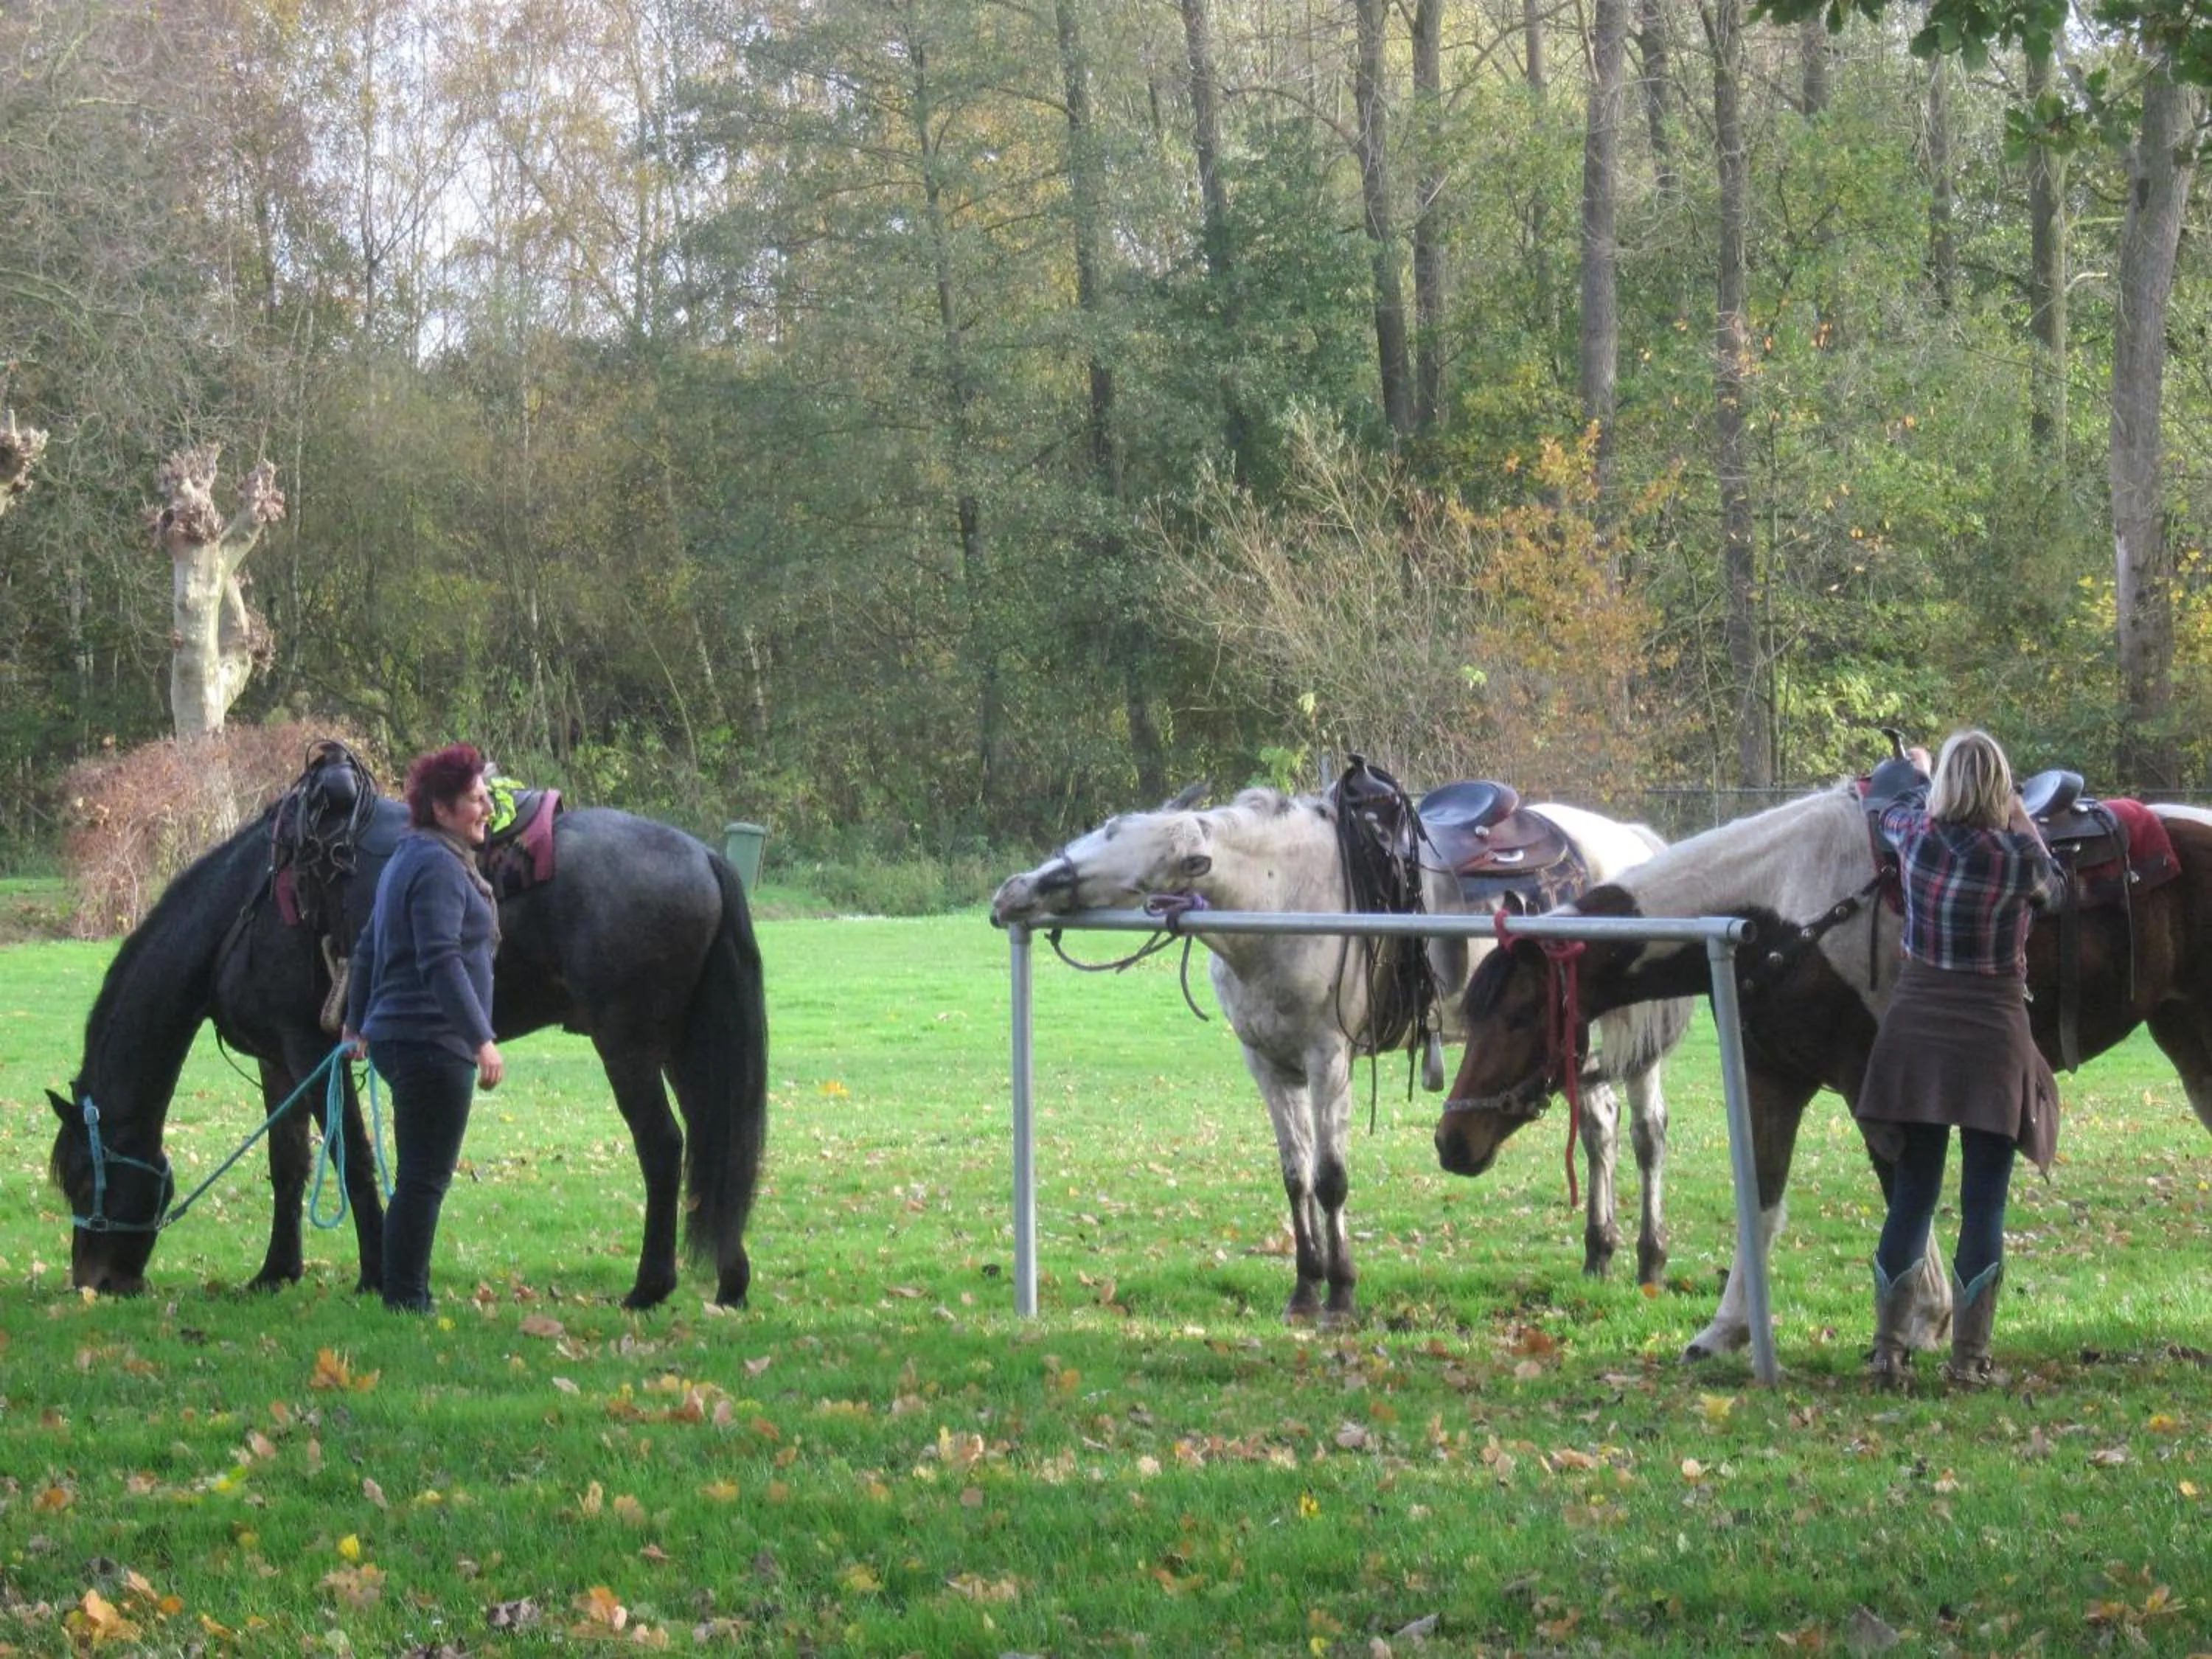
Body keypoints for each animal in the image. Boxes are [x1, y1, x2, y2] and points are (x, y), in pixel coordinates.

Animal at [46, 766, 769, 1310]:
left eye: (82, 1179)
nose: (94, 1282)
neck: (245, 910)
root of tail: (704, 854)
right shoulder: (280, 1064)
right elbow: (289, 1166)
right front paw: (276, 1272)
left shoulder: (314, 1051)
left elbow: (352, 1158)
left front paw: (372, 1273)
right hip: (682, 1046)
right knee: (715, 1144)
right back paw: (730, 1281)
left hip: (628, 1046)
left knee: (664, 1147)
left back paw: (650, 1287)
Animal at [990, 777, 1693, 1323]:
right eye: (1102, 831)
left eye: (1125, 863)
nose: (1012, 892)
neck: (1283, 897)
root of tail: (1629, 838)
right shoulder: (1268, 1065)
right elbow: (1296, 1175)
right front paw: (1304, 1289)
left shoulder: (1328, 1059)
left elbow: (1331, 1178)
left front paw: (1341, 1294)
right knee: (1600, 1130)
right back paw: (1598, 1254)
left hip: (1636, 1043)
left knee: (1646, 1136)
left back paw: (1649, 1260)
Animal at [1440, 779, 2212, 1360]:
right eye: (1474, 1015)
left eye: (1519, 1014)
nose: (1451, 1143)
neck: (1785, 911)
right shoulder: (1771, 1081)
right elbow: (1762, 1198)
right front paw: (1725, 1332)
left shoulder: (1874, 1081)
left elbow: (1904, 1191)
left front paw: (1922, 1321)